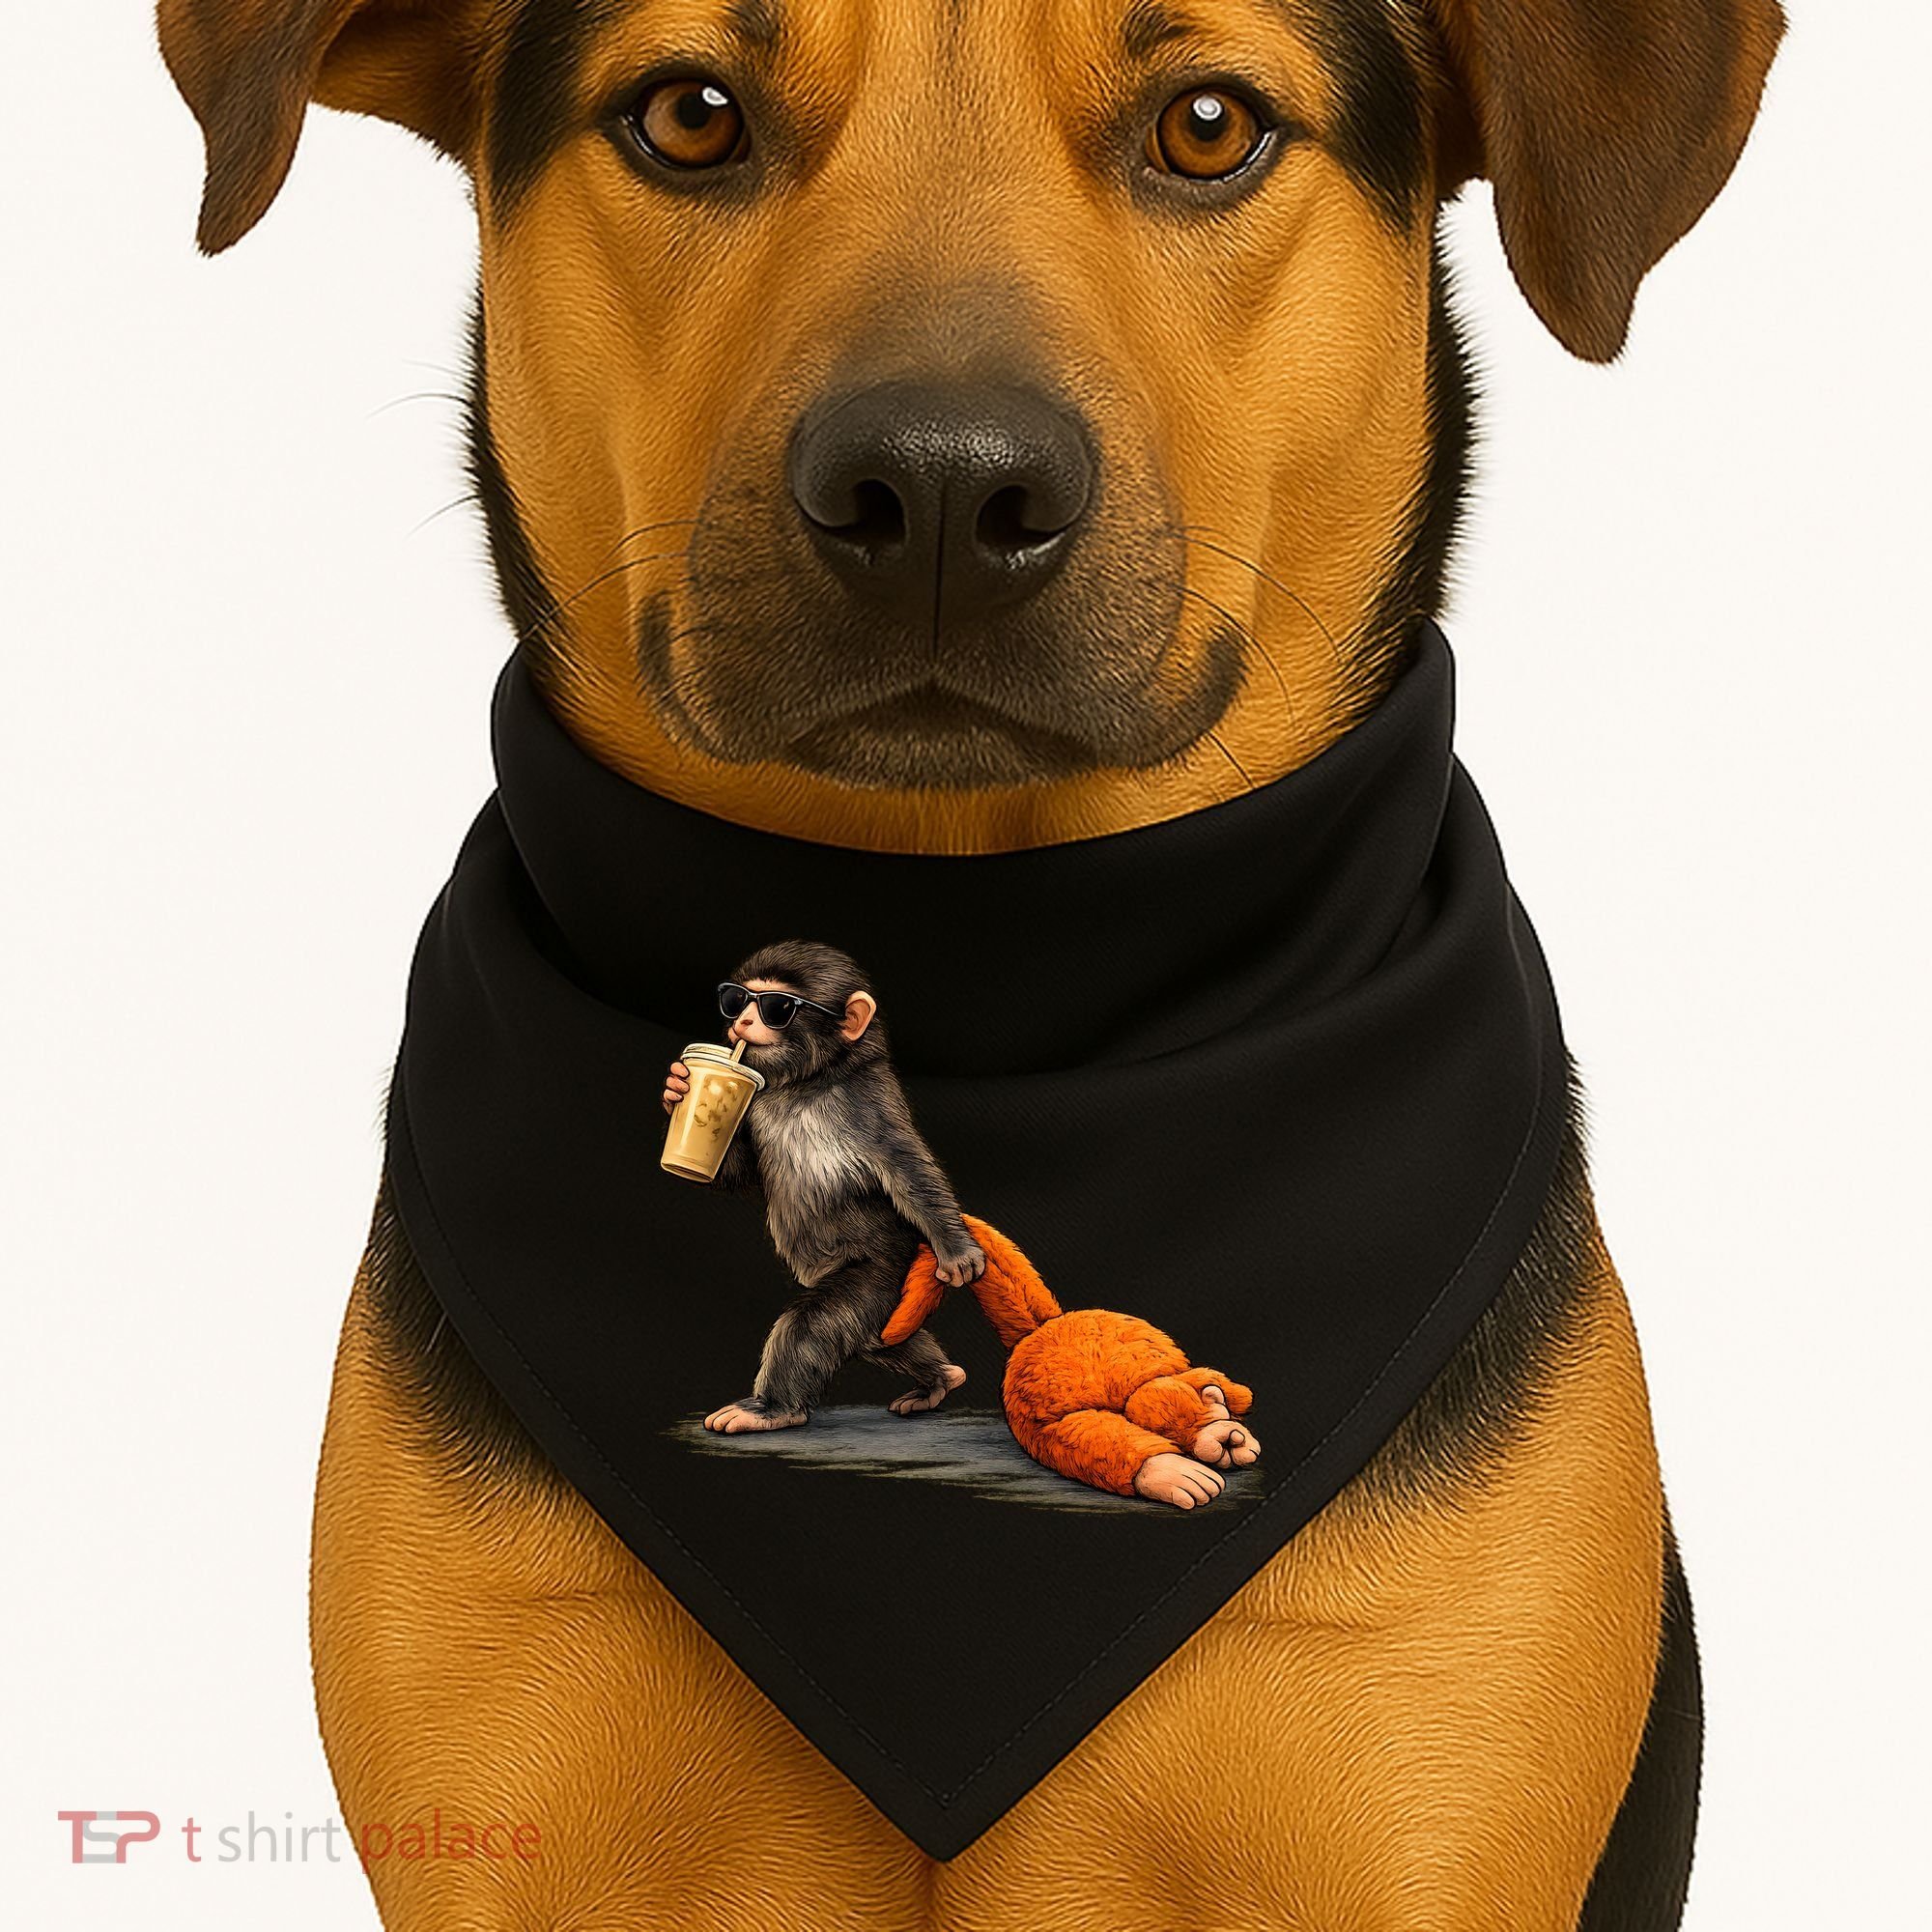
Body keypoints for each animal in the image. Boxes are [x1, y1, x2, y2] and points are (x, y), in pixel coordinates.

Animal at [662, 939, 986, 1435]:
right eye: (735, 998)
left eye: (778, 1007)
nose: (742, 1021)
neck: (809, 1082)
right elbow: (743, 1172)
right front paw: (678, 1087)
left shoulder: (868, 1105)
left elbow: (908, 1170)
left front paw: (958, 1250)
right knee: (879, 1339)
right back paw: (940, 1378)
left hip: (882, 1270)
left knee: (817, 1325)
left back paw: (771, 1408)